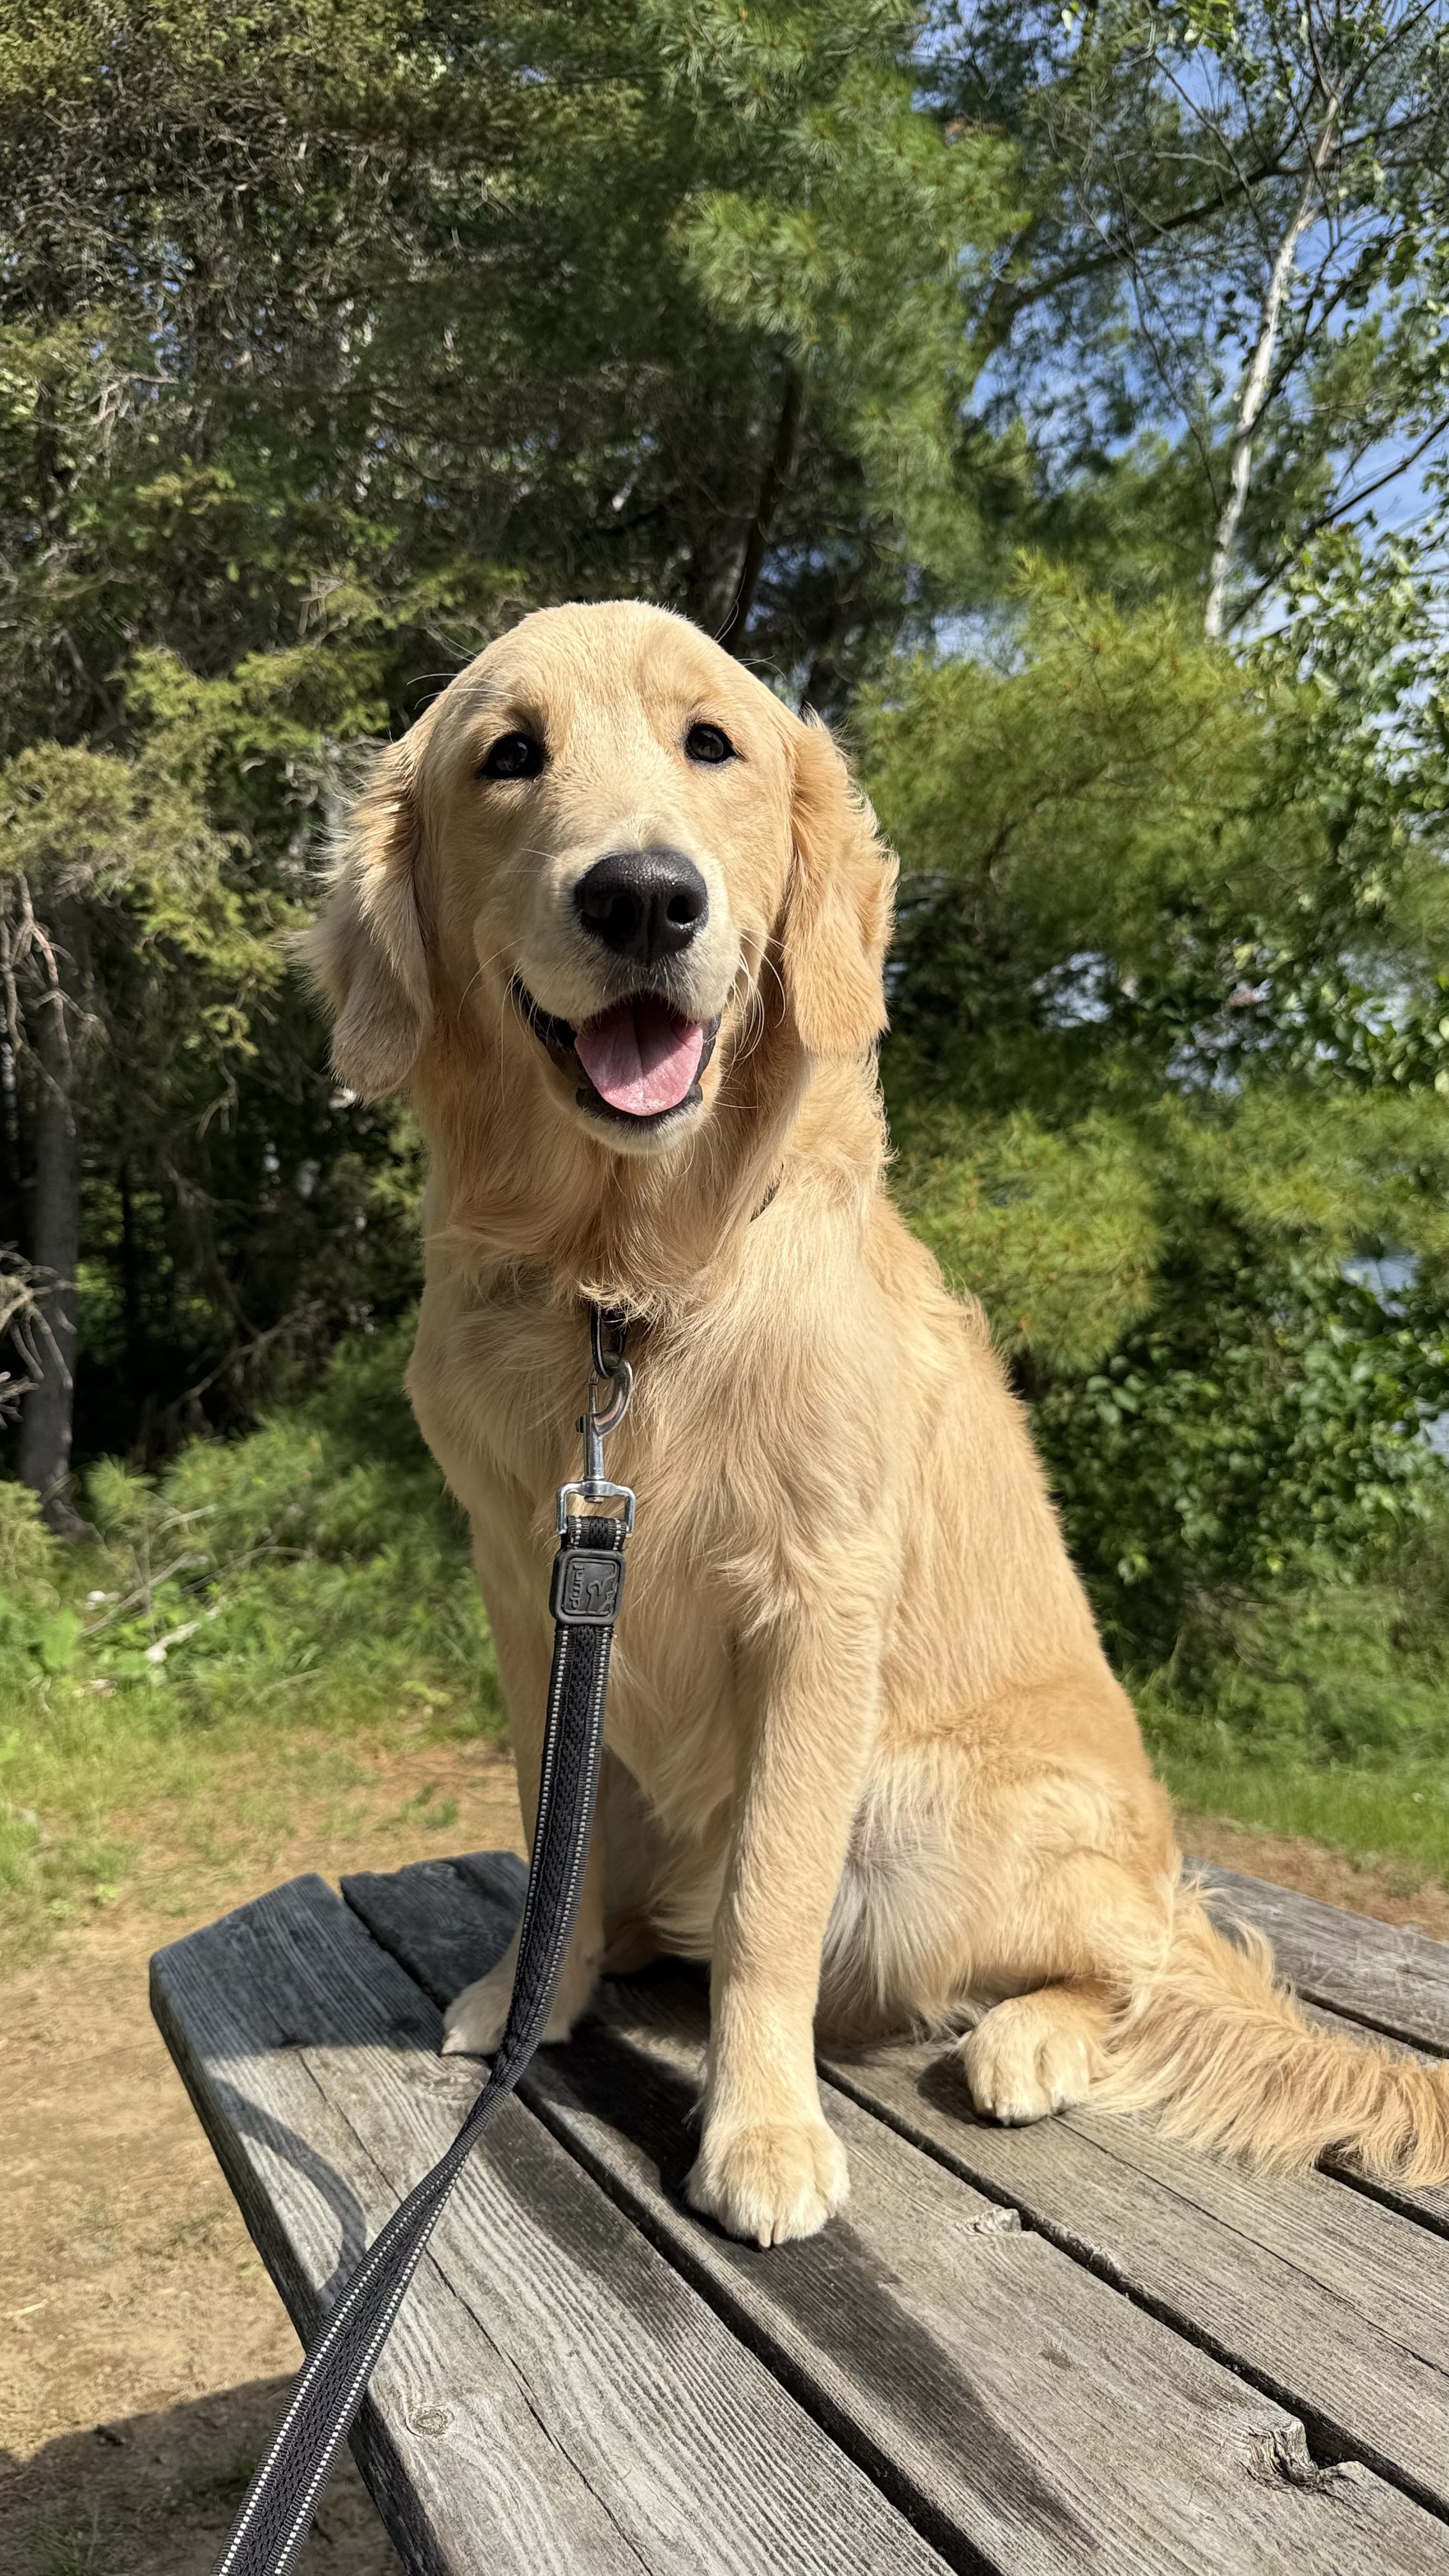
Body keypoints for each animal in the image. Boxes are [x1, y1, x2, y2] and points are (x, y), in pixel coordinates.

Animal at [306, 599, 1449, 2246]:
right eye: (508, 758)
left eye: (712, 743)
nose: (644, 898)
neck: (627, 1287)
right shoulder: (535, 1595)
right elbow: (549, 1843)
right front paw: (531, 1993)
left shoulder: (816, 1606)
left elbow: (771, 1907)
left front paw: (763, 2128)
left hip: (949, 1811)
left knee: (1124, 1966)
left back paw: (1028, 2042)